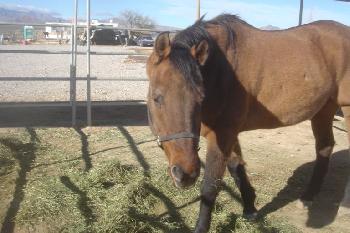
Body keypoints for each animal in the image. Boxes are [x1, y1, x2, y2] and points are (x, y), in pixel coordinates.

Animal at [146, 15, 350, 233]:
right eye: (157, 98)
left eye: (200, 98)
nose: (186, 174)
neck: (224, 70)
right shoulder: (227, 134)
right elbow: (236, 167)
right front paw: (250, 207)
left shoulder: (223, 134)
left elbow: (210, 186)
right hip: (324, 110)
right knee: (324, 147)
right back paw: (308, 196)